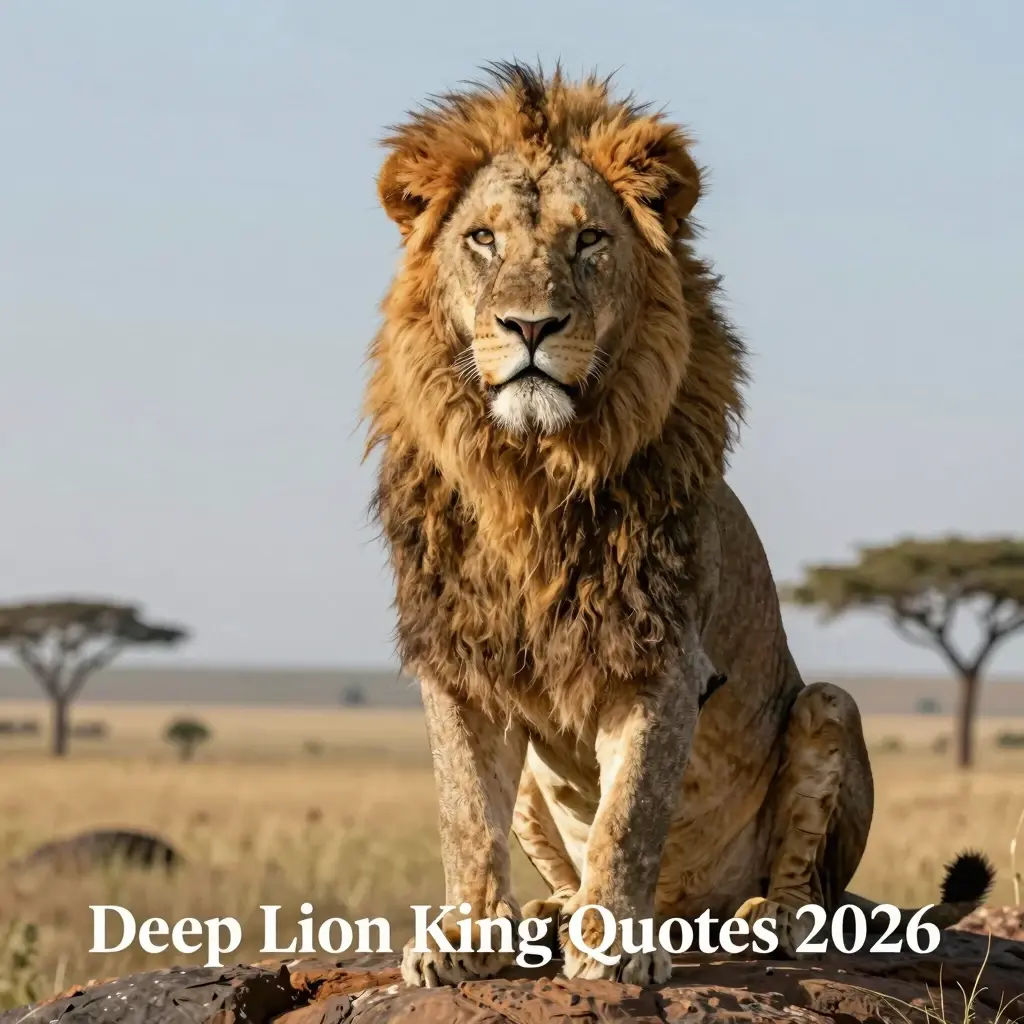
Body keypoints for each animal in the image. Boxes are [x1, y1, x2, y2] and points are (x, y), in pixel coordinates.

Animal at [363, 62, 994, 988]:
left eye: (589, 240)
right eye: (482, 239)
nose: (530, 326)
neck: (533, 471)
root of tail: (688, 911)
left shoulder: (662, 653)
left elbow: (630, 815)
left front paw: (615, 945)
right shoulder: (463, 657)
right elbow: (464, 814)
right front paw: (469, 936)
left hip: (828, 709)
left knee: (815, 887)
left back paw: (769, 917)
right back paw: (549, 915)